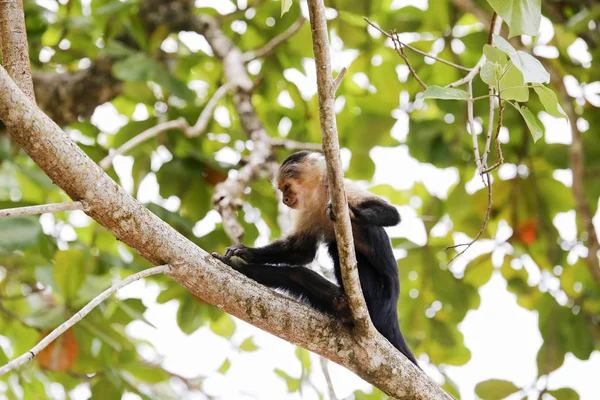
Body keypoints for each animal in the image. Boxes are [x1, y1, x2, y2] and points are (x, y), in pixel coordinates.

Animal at [214, 150, 418, 366]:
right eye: (281, 190)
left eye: (286, 187)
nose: (285, 199)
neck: (318, 194)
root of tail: (391, 312)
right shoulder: (306, 208)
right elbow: (300, 251)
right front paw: (245, 252)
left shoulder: (342, 190)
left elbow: (392, 215)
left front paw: (352, 213)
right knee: (295, 276)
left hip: (379, 297)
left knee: (349, 243)